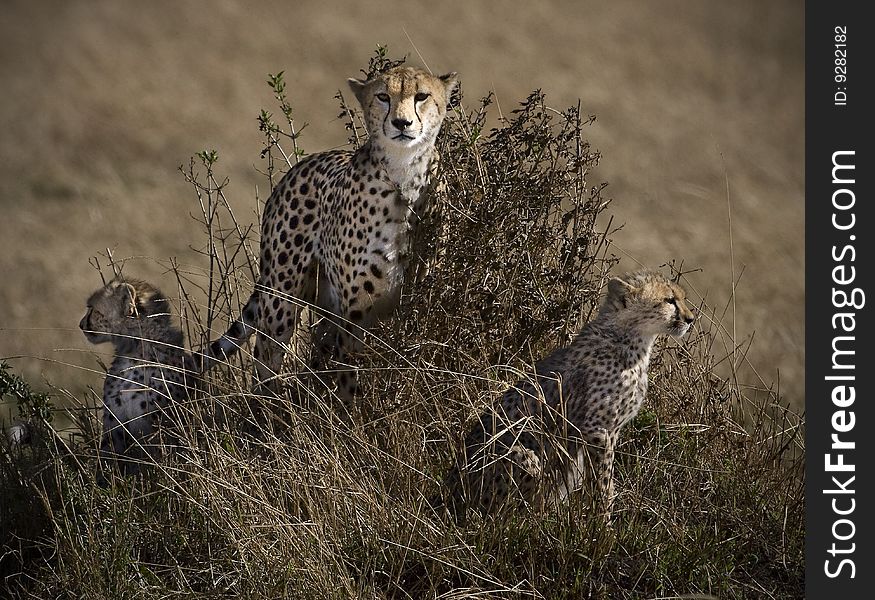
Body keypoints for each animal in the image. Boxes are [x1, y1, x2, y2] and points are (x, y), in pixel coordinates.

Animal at [81, 278, 191, 478]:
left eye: (92, 309)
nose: (80, 324)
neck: (135, 350)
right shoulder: (114, 422)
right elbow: (108, 459)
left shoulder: (159, 425)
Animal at [204, 68, 458, 410]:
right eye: (383, 96)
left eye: (421, 96)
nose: (402, 123)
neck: (405, 174)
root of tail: (299, 166)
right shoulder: (356, 308)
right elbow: (350, 372)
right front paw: (352, 418)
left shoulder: (418, 295)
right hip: (282, 296)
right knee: (266, 355)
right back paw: (267, 412)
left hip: (323, 303)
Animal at [444, 272, 700, 520]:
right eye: (669, 300)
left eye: (682, 298)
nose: (690, 319)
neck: (629, 338)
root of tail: (448, 492)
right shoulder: (597, 430)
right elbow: (602, 485)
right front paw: (601, 526)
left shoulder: (611, 431)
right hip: (520, 453)